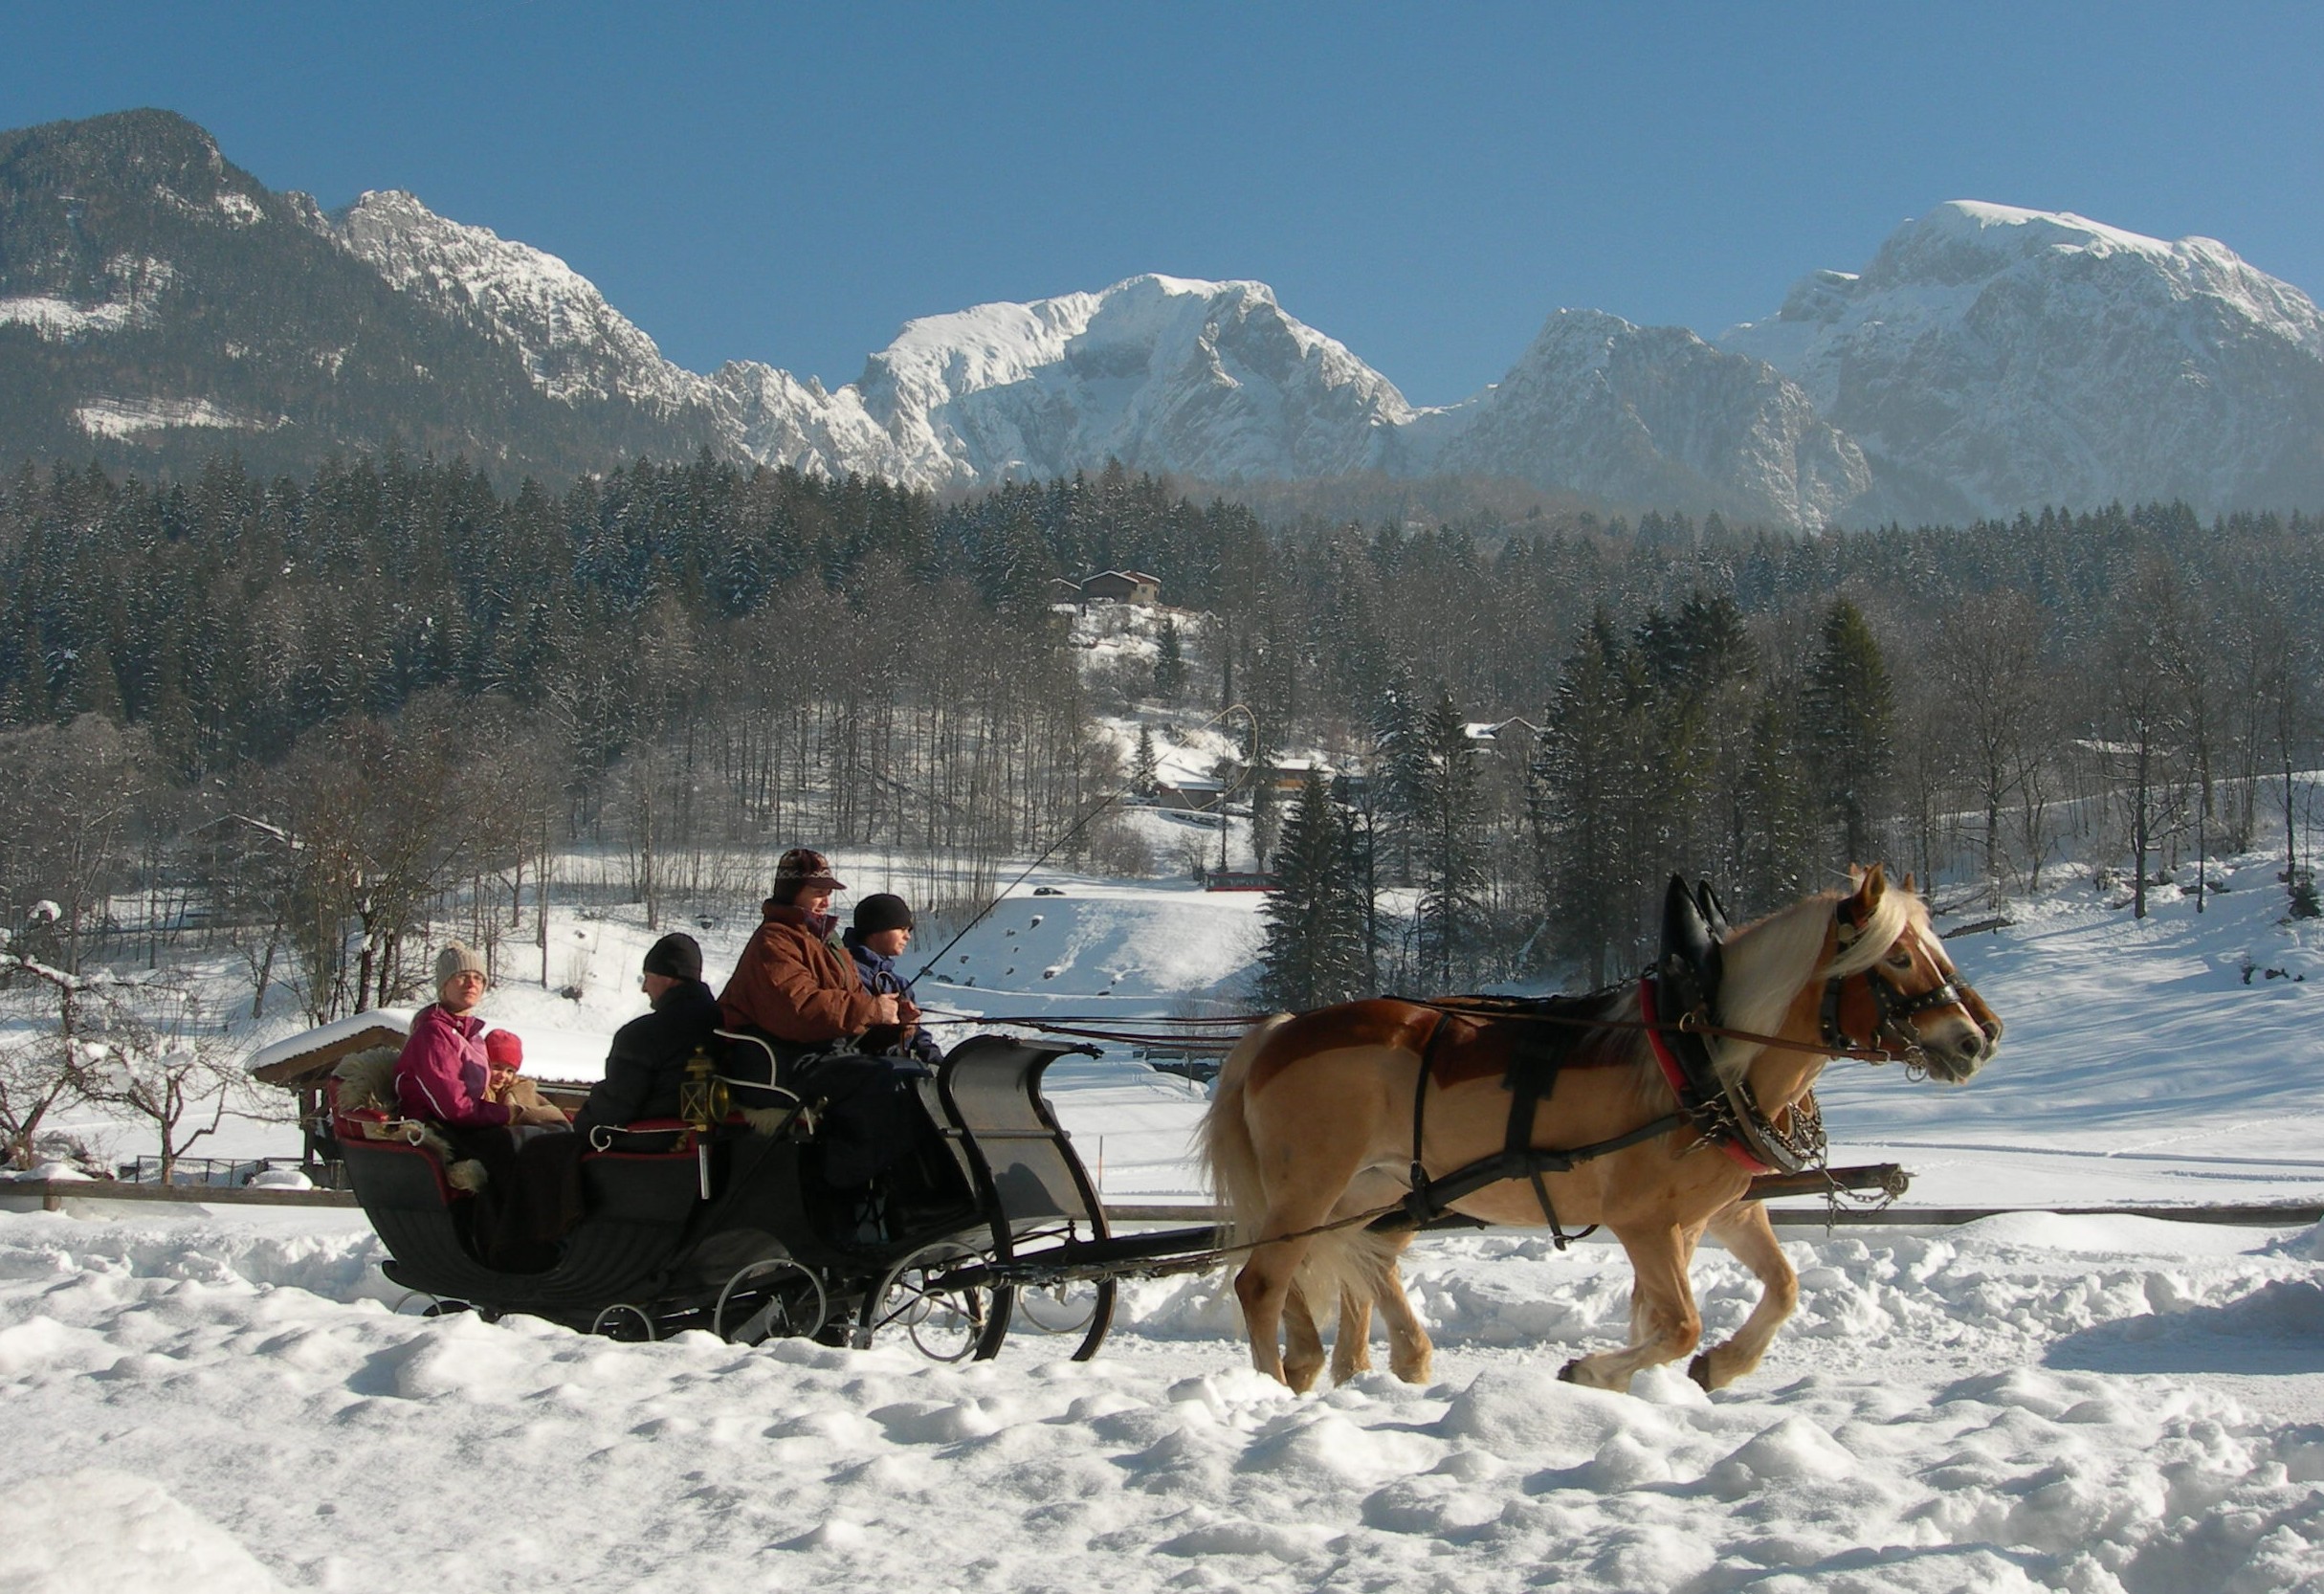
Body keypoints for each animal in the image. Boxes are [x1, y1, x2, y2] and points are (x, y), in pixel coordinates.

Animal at [1199, 874, 1998, 1394]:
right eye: (1897, 956)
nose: (1975, 1039)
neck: (1704, 1053)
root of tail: (1277, 1030)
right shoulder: (1643, 1222)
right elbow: (1676, 1323)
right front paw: (1590, 1369)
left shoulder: (1724, 1212)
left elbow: (1780, 1289)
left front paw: (1720, 1366)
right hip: (1312, 1186)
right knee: (1262, 1280)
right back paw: (1274, 1386)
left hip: (1376, 1192)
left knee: (1351, 1263)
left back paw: (1351, 1361)